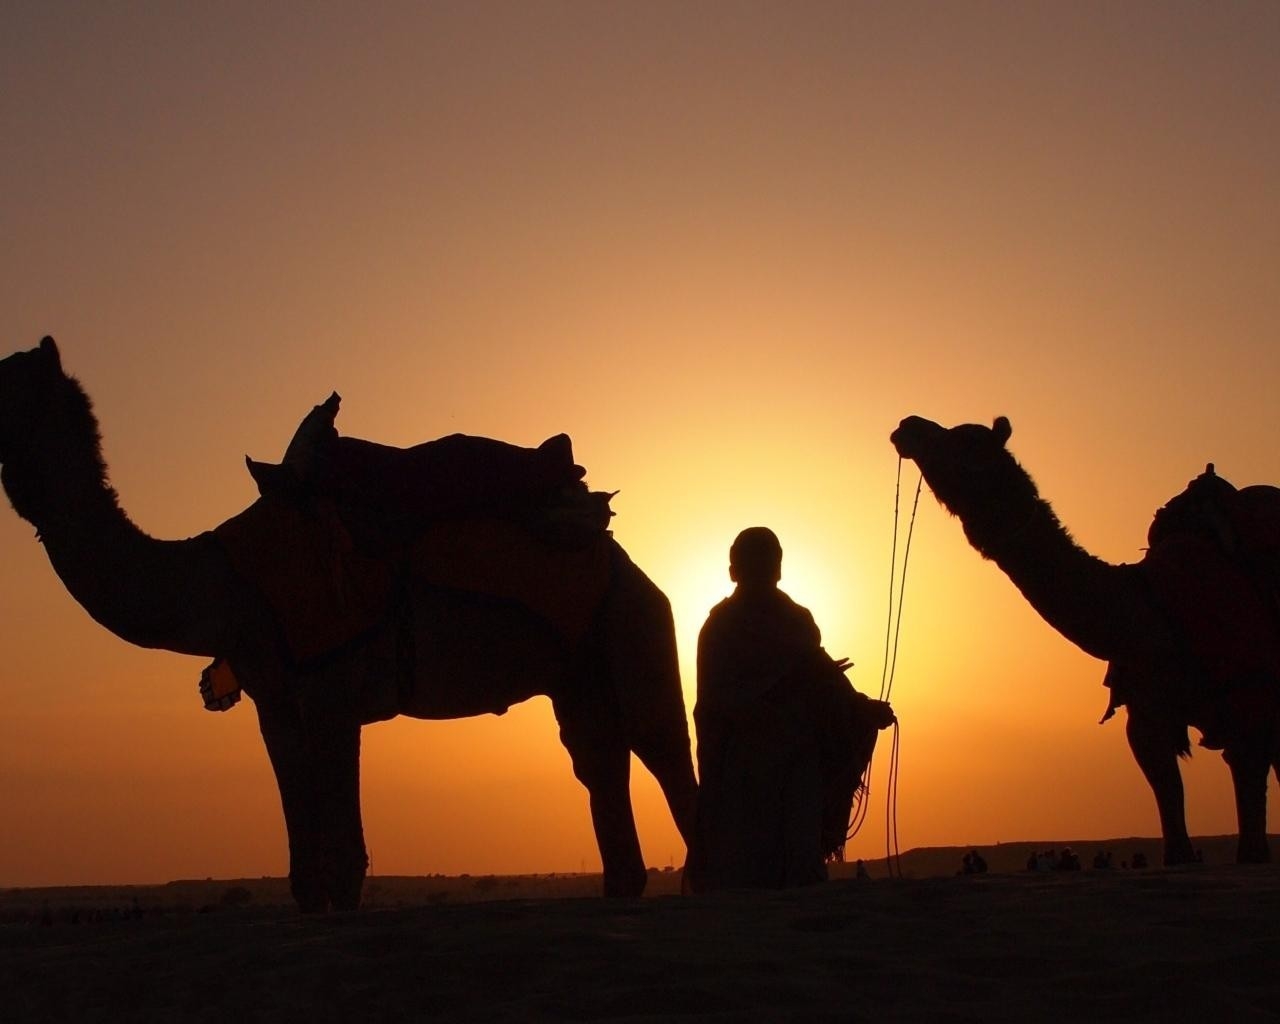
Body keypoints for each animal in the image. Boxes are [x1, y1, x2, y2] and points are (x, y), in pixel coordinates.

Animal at [0, 336, 698, 911]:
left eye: (7, 381)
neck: (227, 578)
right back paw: (625, 885)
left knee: (659, 739)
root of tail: (616, 547)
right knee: (597, 755)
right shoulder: (275, 698)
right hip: (577, 664)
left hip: (630, 616)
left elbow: (343, 856)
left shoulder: (330, 687)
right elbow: (303, 845)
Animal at [891, 414, 1280, 865]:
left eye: (963, 442)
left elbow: (1246, 818)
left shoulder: (1248, 695)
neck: (1144, 610)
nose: (908, 425)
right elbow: (1169, 797)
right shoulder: (1145, 708)